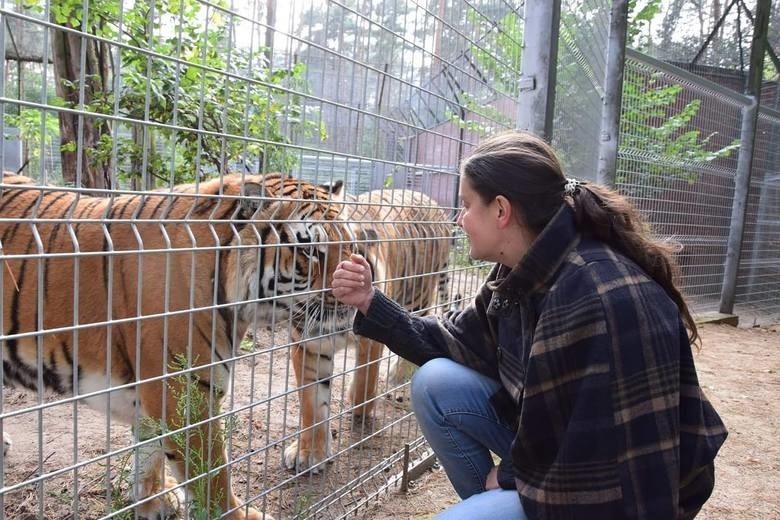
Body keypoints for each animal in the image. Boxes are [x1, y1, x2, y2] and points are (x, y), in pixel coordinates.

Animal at [1, 173, 354, 516]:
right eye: (310, 250)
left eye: (349, 242)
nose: (352, 288)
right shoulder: (184, 394)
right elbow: (213, 480)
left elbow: (148, 450)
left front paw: (151, 501)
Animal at [284, 189, 454, 474]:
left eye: (351, 252)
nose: (337, 292)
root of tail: (429, 199)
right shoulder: (307, 345)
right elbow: (312, 404)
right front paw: (309, 453)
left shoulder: (372, 336)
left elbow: (366, 377)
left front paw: (360, 406)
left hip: (418, 295)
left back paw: (397, 378)